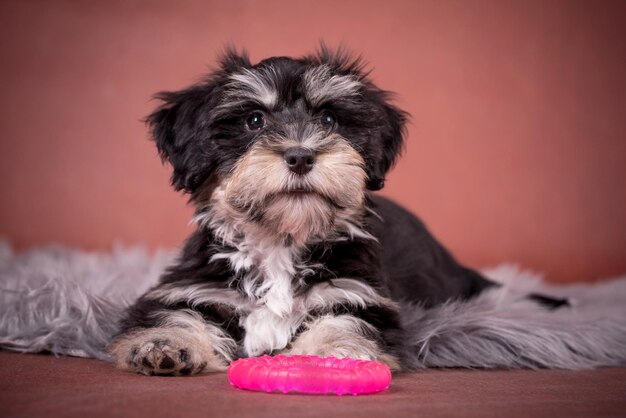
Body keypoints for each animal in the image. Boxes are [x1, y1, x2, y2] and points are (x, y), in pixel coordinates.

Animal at [106, 46, 560, 376]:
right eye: (254, 120)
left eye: (328, 118)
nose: (300, 155)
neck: (281, 241)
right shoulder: (194, 286)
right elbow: (176, 313)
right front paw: (165, 345)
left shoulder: (359, 296)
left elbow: (343, 320)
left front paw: (334, 352)